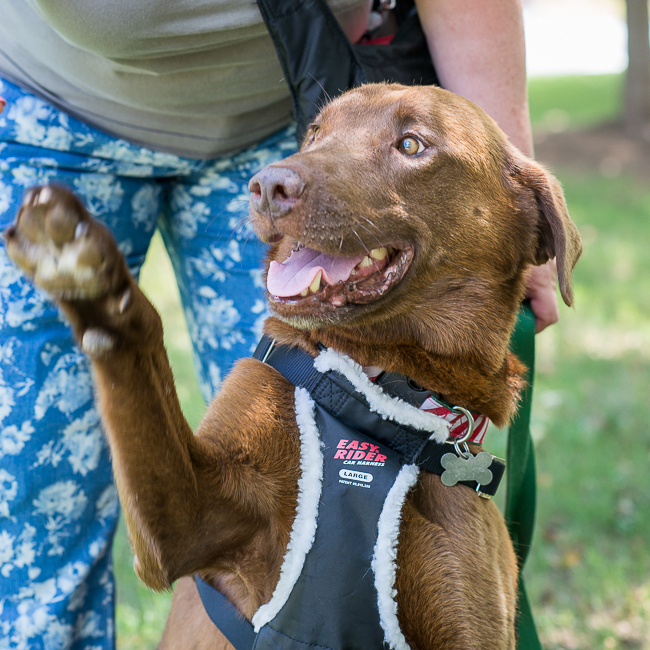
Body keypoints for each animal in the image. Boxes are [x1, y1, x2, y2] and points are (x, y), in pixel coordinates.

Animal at [5, 83, 580, 644]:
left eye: (412, 144)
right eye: (315, 132)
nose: (266, 185)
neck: (378, 391)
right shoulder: (191, 527)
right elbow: (142, 380)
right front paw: (86, 279)